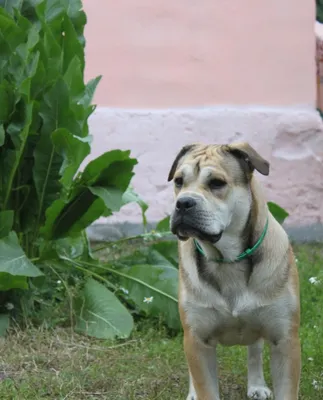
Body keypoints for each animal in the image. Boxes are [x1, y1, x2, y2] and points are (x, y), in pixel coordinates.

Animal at [168, 142, 302, 398]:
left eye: (217, 183)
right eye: (179, 181)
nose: (183, 202)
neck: (227, 260)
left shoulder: (285, 341)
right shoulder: (198, 341)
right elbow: (205, 385)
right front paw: (198, 391)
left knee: (254, 350)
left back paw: (257, 384)